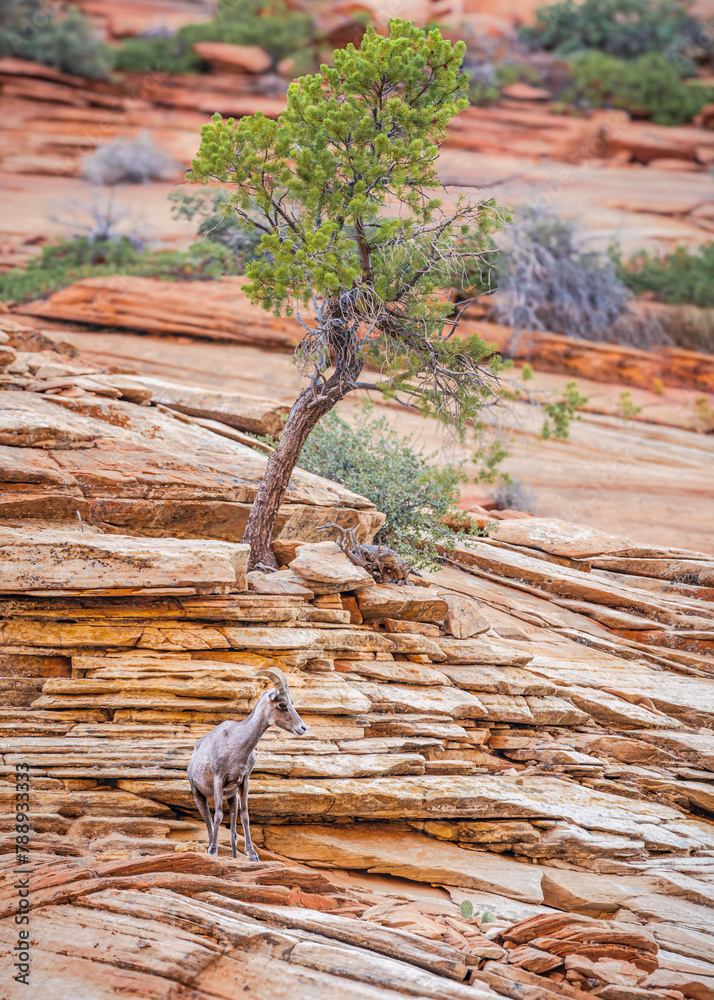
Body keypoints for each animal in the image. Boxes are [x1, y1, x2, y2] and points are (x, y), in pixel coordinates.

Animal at [187, 667, 306, 860]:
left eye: (291, 702)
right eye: (282, 704)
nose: (302, 728)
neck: (236, 744)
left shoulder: (244, 782)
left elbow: (245, 816)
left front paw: (252, 855)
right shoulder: (219, 778)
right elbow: (218, 815)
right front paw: (213, 851)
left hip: (232, 798)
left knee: (233, 833)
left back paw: (235, 857)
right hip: (198, 795)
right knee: (209, 823)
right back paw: (211, 848)